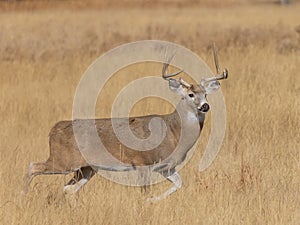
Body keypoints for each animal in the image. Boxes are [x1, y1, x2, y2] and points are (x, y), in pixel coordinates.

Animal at [23, 45, 229, 200]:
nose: (205, 106)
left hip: (87, 168)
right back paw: (22, 196)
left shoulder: (166, 167)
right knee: (33, 166)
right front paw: (147, 203)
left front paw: (154, 201)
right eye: (191, 94)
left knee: (68, 189)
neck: (174, 131)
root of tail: (53, 130)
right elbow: (145, 192)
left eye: (206, 94)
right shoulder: (143, 163)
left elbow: (179, 184)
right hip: (64, 160)